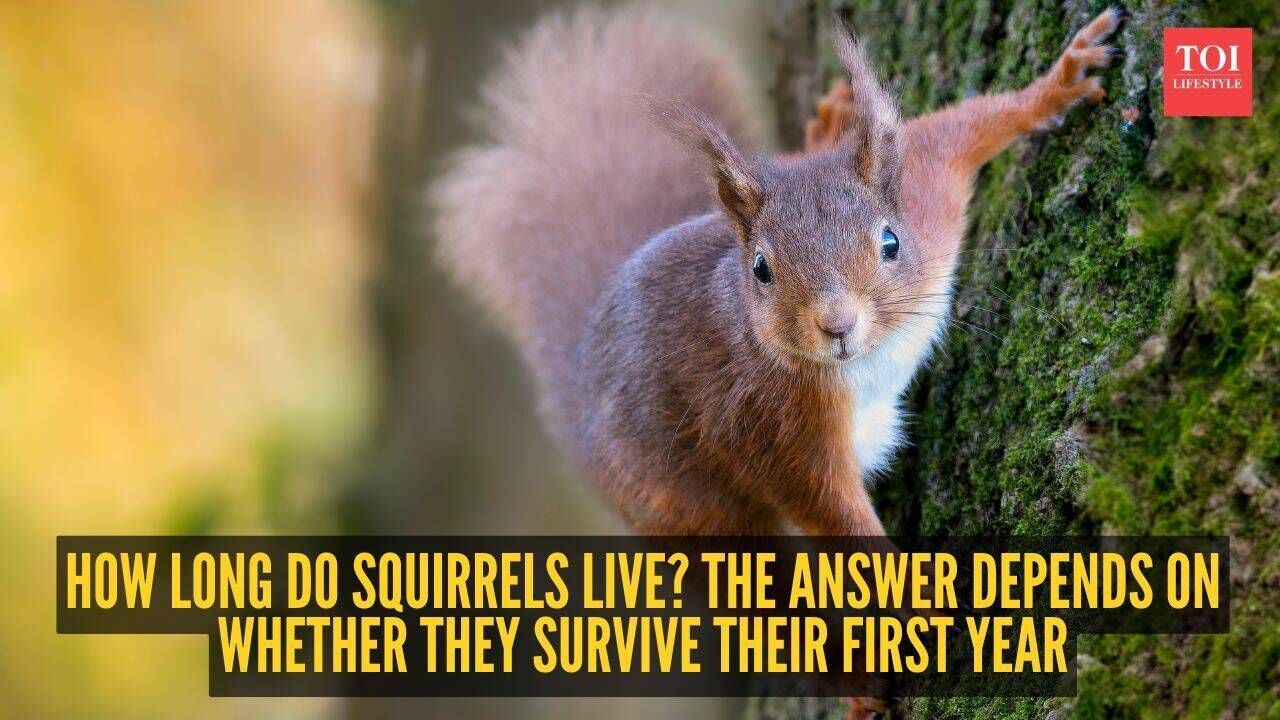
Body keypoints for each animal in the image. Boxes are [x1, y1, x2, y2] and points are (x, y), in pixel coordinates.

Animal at [435, 6, 1125, 538]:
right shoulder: (769, 425)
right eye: (761, 271)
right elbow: (834, 516)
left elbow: (963, 126)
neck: (866, 360)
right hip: (692, 510)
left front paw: (1061, 82)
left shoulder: (929, 192)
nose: (838, 326)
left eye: (891, 241)